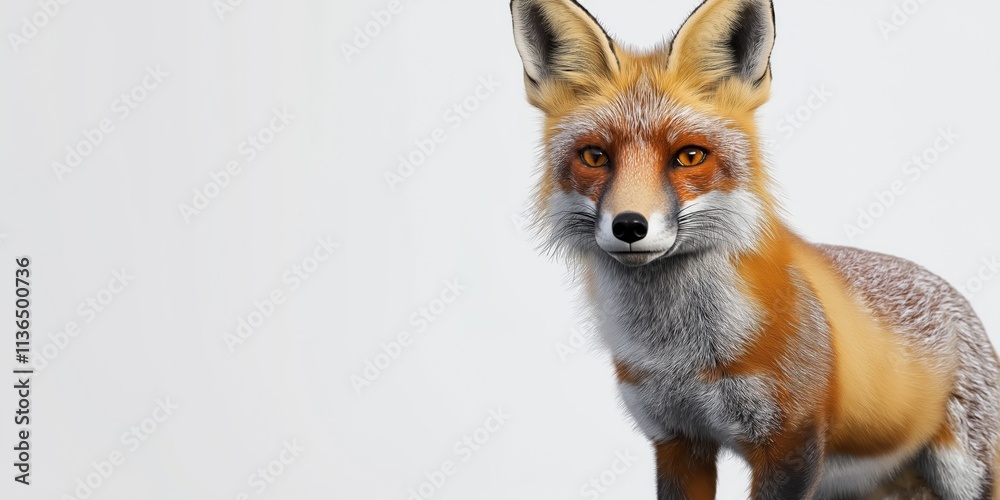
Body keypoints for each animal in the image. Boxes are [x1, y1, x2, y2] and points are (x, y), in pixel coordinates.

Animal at [509, 0, 1000, 498]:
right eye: (594, 157)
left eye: (689, 156)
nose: (629, 225)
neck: (682, 355)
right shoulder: (677, 440)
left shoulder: (792, 445)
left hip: (964, 474)